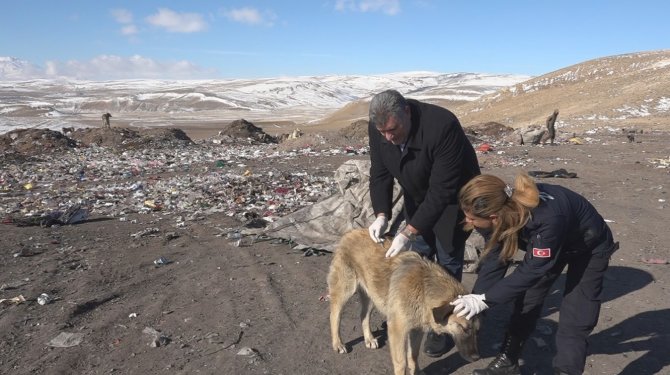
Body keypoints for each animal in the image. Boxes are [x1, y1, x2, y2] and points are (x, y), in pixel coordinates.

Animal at [330, 229, 478, 375]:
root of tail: (351, 231)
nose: (476, 358)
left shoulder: (417, 330)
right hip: (345, 291)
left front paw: (416, 371)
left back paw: (369, 339)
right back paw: (338, 344)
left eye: (476, 330)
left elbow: (413, 355)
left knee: (364, 316)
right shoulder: (397, 330)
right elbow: (401, 362)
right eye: (464, 328)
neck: (424, 289)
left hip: (373, 294)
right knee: (334, 315)